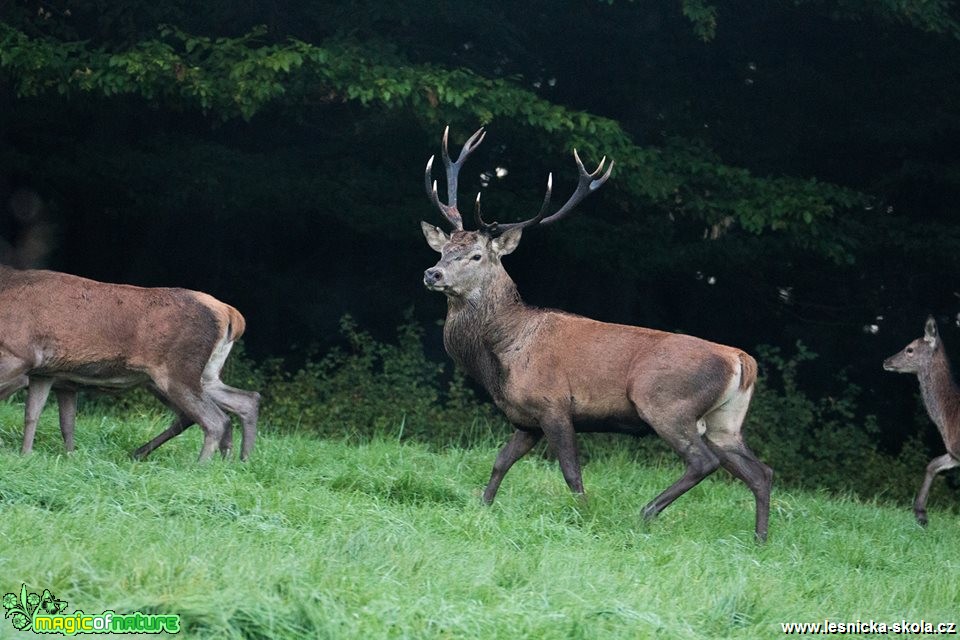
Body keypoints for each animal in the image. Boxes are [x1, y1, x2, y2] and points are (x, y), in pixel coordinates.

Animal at [0, 264, 258, 460]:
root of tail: (230, 314)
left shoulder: (20, 355)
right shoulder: (48, 374)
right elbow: (43, 417)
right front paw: (33, 455)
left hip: (176, 372)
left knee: (215, 419)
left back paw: (201, 467)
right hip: (203, 375)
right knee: (245, 401)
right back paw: (237, 461)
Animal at [420, 125, 772, 540]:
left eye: (476, 255)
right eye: (444, 250)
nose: (432, 273)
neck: (503, 354)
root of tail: (741, 360)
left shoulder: (553, 403)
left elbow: (572, 472)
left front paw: (584, 516)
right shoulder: (526, 419)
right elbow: (500, 461)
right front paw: (483, 507)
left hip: (666, 403)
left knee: (702, 462)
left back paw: (646, 512)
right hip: (725, 421)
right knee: (760, 472)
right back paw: (760, 539)